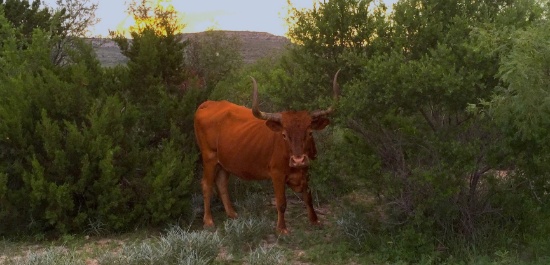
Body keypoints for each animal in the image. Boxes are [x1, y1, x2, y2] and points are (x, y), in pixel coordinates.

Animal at [194, 70, 340, 233]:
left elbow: (308, 196)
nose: (298, 160)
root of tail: (208, 103)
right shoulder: (277, 174)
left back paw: (232, 214)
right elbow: (281, 203)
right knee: (206, 185)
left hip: (224, 162)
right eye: (284, 135)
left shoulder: (305, 171)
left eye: (309, 133)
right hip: (209, 157)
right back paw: (208, 221)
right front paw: (281, 229)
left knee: (221, 183)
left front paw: (314, 220)